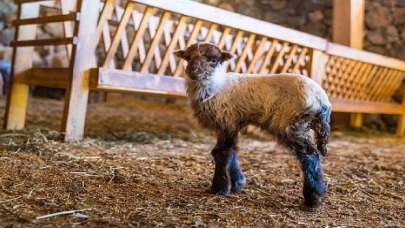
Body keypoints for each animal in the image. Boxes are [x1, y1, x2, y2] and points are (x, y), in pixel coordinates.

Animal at [174, 41, 332, 209]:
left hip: (293, 123)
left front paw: (219, 188)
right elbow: (232, 151)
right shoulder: (232, 122)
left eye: (213, 60)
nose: (193, 71)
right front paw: (237, 183)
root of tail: (321, 100)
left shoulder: (225, 119)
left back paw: (314, 197)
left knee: (310, 156)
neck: (217, 86)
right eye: (188, 58)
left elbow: (220, 152)